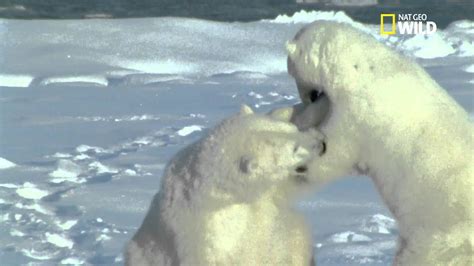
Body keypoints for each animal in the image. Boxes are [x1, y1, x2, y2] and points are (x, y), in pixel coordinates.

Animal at [286, 21, 474, 264]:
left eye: (292, 71)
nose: (308, 97)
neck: (358, 67)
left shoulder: (358, 110)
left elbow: (337, 150)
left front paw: (303, 162)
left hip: (440, 231)